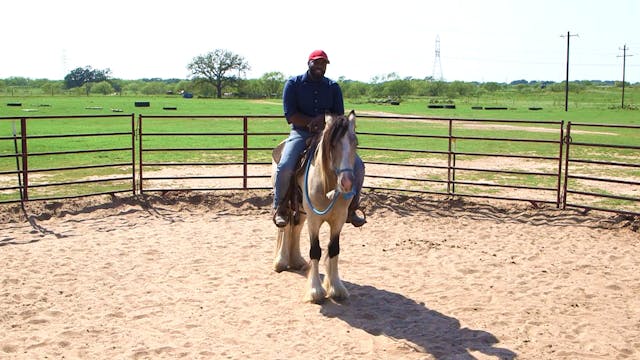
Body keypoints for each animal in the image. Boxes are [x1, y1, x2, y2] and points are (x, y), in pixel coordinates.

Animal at [272, 111, 360, 302]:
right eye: (332, 144)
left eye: (355, 143)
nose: (347, 183)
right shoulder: (314, 219)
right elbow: (315, 251)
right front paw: (315, 291)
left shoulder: (339, 219)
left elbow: (334, 250)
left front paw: (336, 287)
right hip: (288, 203)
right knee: (285, 226)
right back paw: (281, 261)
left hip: (301, 209)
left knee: (295, 227)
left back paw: (297, 260)